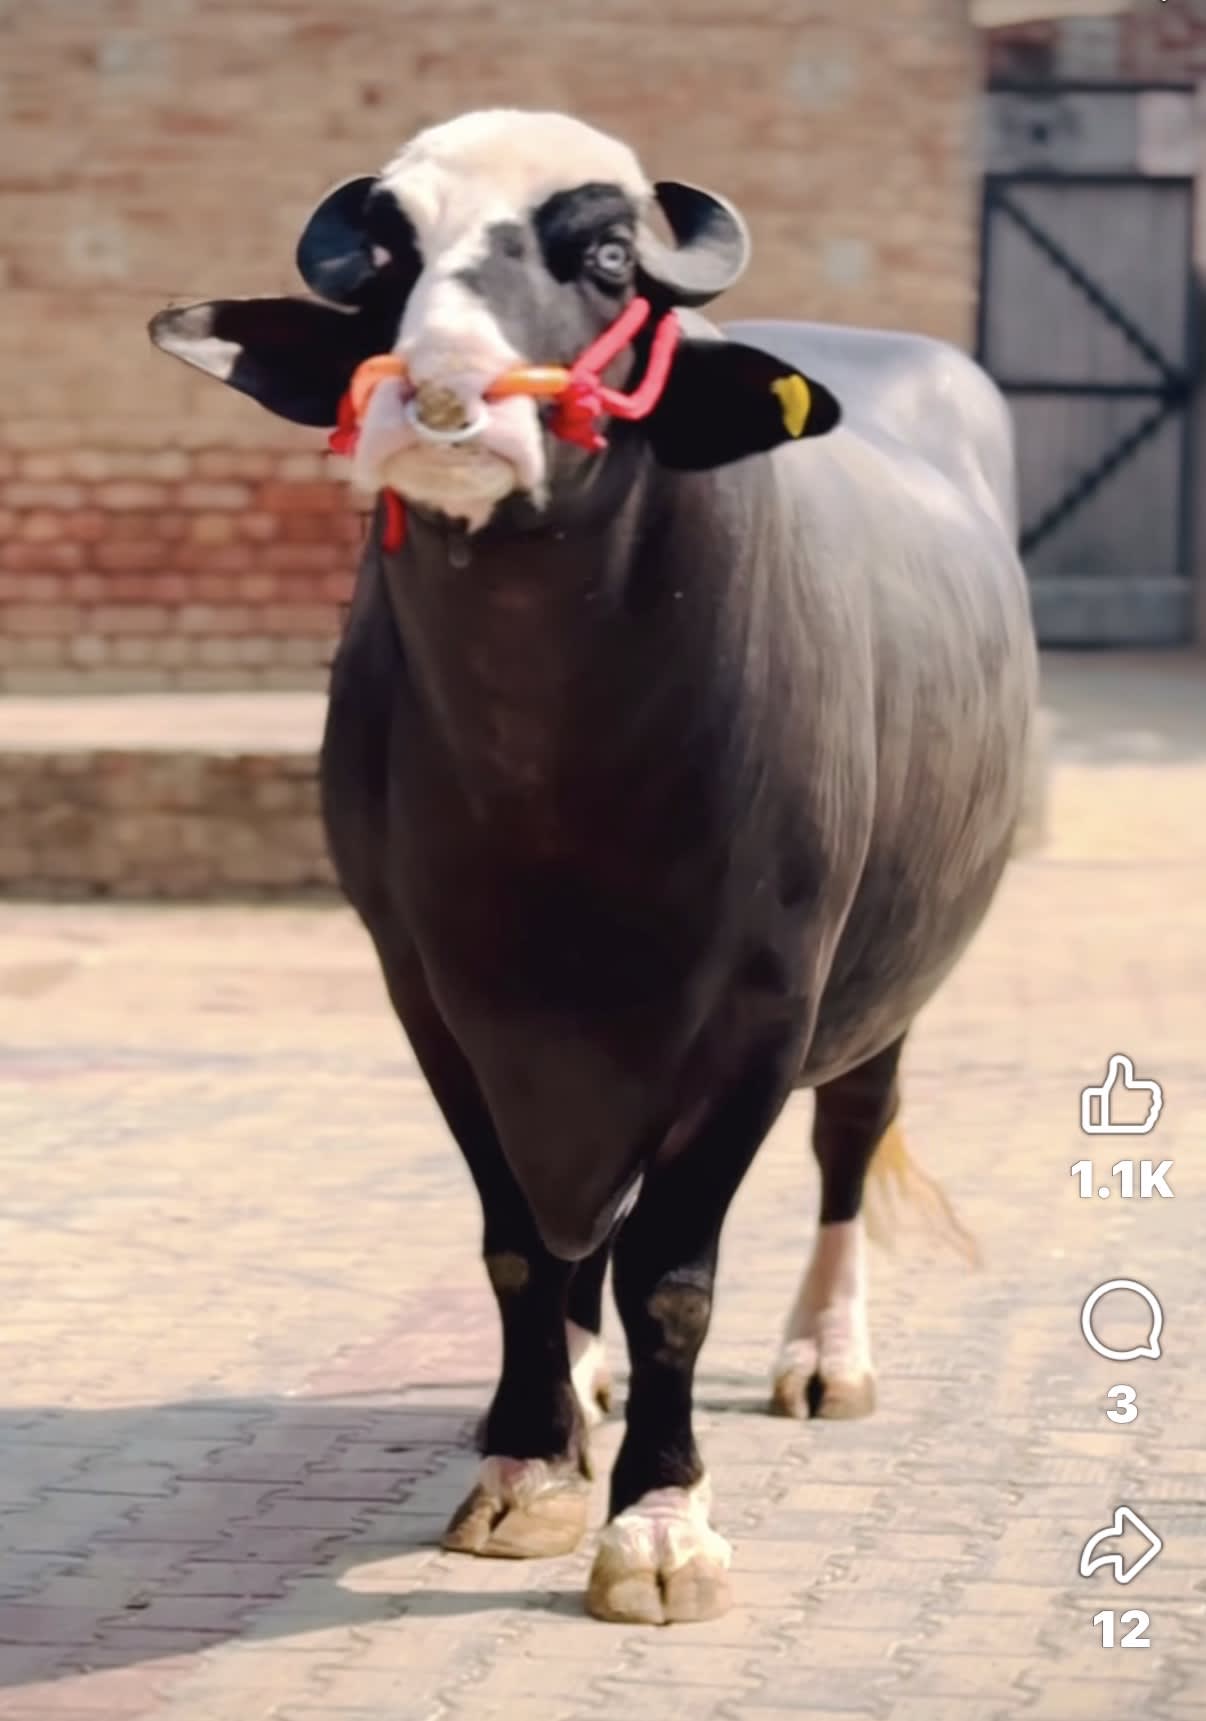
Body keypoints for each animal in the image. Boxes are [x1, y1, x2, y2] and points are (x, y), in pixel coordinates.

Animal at [149, 108, 1038, 1626]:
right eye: (385, 260)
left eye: (609, 256)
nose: (440, 396)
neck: (552, 782)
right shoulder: (431, 992)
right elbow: (521, 1241)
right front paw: (528, 1461)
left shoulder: (760, 1009)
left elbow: (672, 1272)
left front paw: (657, 1523)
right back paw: (576, 1386)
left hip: (894, 978)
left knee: (849, 1140)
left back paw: (823, 1354)